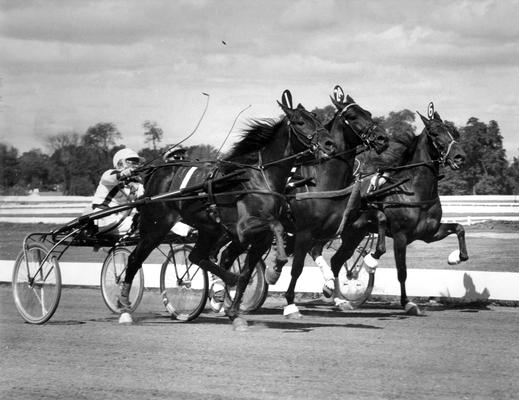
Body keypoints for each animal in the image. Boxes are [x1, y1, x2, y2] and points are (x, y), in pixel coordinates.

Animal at [118, 90, 338, 328]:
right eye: (300, 122)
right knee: (134, 259)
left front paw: (234, 313)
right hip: (156, 227)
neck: (258, 177)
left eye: (317, 118)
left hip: (209, 229)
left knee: (197, 256)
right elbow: (276, 227)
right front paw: (274, 271)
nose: (329, 144)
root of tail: (156, 172)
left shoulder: (259, 240)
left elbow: (246, 273)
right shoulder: (244, 228)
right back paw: (124, 308)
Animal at [266, 85, 392, 318]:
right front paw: (290, 303)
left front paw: (371, 261)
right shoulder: (303, 232)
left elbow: (379, 217)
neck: (325, 181)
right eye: (352, 116)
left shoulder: (348, 222)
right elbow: (296, 268)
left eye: (368, 113)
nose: (382, 139)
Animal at [328, 101, 470, 314]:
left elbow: (459, 228)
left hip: (354, 235)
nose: (460, 157)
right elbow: (401, 271)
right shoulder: (400, 236)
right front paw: (407, 302)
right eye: (435, 133)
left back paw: (338, 298)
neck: (414, 191)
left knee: (336, 262)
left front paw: (456, 257)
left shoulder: (430, 233)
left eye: (453, 132)